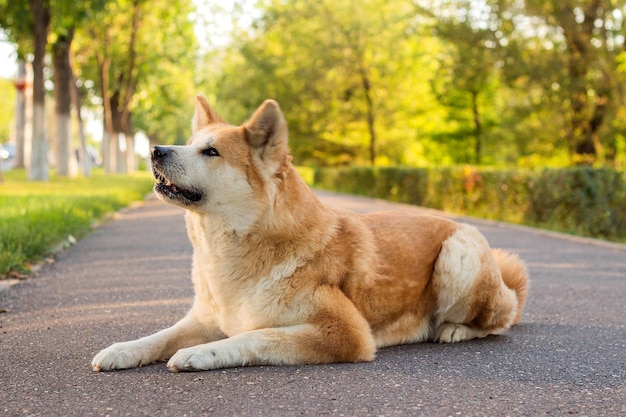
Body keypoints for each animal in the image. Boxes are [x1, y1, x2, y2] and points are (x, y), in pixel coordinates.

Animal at [91, 96, 528, 372]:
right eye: (190, 143)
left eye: (211, 152)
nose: (156, 150)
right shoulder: (204, 317)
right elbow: (160, 336)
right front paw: (122, 350)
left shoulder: (346, 333)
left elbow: (256, 337)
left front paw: (203, 353)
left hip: (459, 255)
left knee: (500, 318)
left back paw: (455, 329)